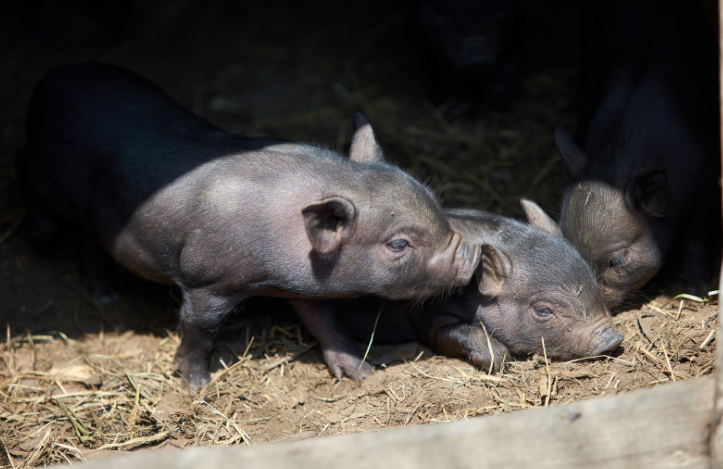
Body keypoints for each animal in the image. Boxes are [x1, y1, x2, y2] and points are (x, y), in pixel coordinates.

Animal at [19, 64, 480, 390]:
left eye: (433, 199)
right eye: (399, 244)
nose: (473, 252)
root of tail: (48, 80)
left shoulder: (306, 290)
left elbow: (326, 324)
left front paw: (362, 374)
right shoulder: (205, 280)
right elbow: (200, 330)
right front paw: (195, 387)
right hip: (47, 179)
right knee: (60, 221)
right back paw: (84, 276)